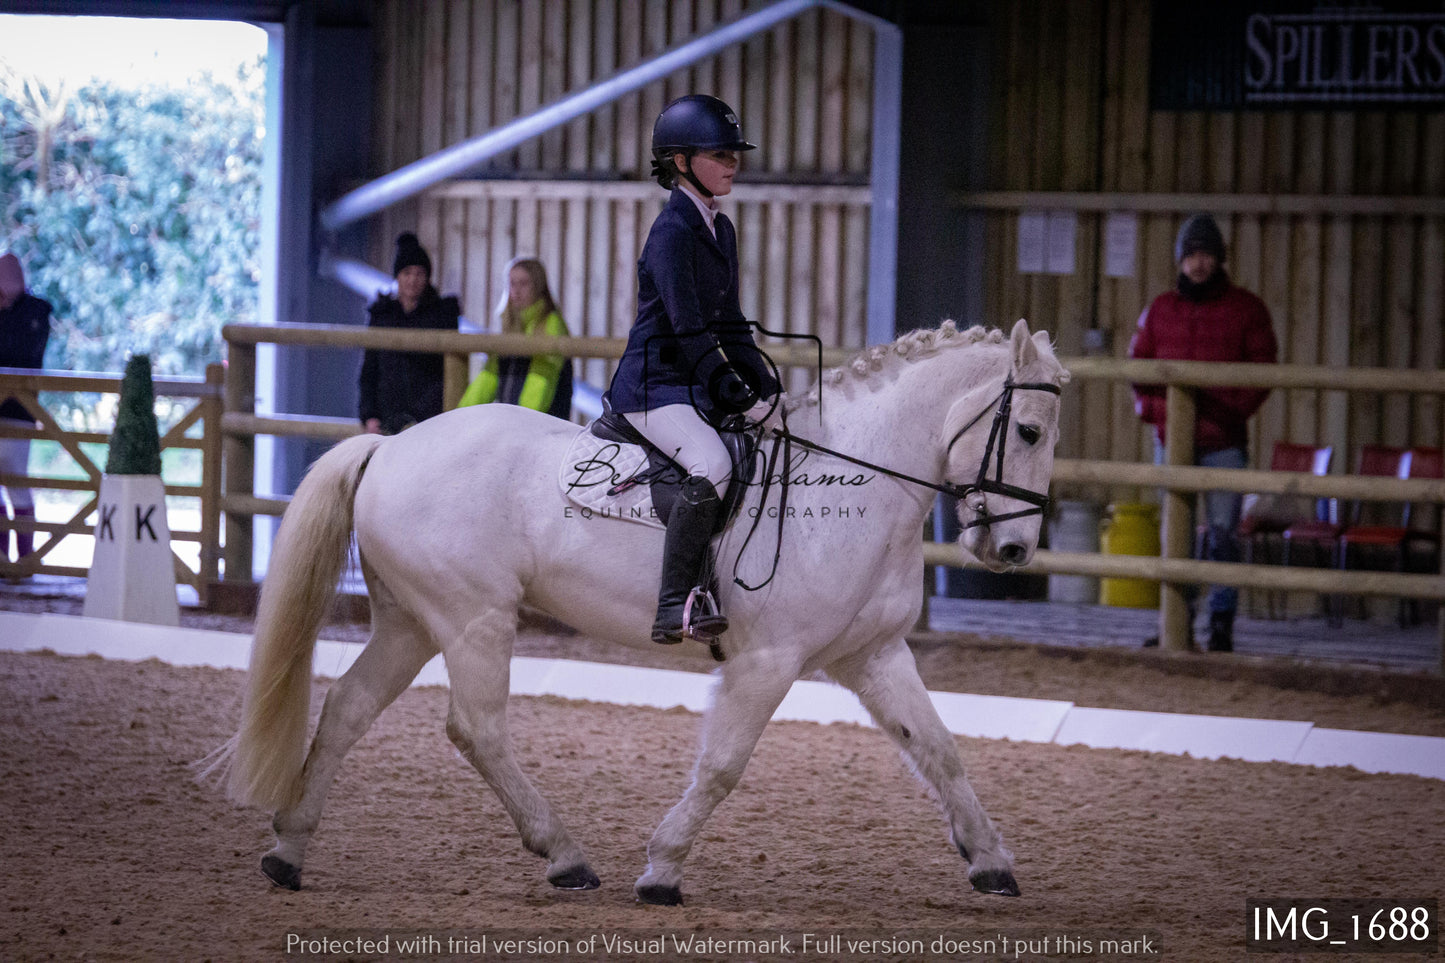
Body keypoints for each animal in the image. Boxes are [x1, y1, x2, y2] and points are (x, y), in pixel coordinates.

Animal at [206, 316, 1063, 902]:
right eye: (1026, 430)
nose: (1013, 551)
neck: (857, 489)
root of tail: (389, 445)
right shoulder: (766, 661)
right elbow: (721, 766)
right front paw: (661, 868)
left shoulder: (874, 655)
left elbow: (940, 749)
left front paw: (990, 860)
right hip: (474, 618)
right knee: (477, 728)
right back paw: (565, 854)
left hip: (412, 622)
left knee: (348, 708)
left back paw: (288, 850)